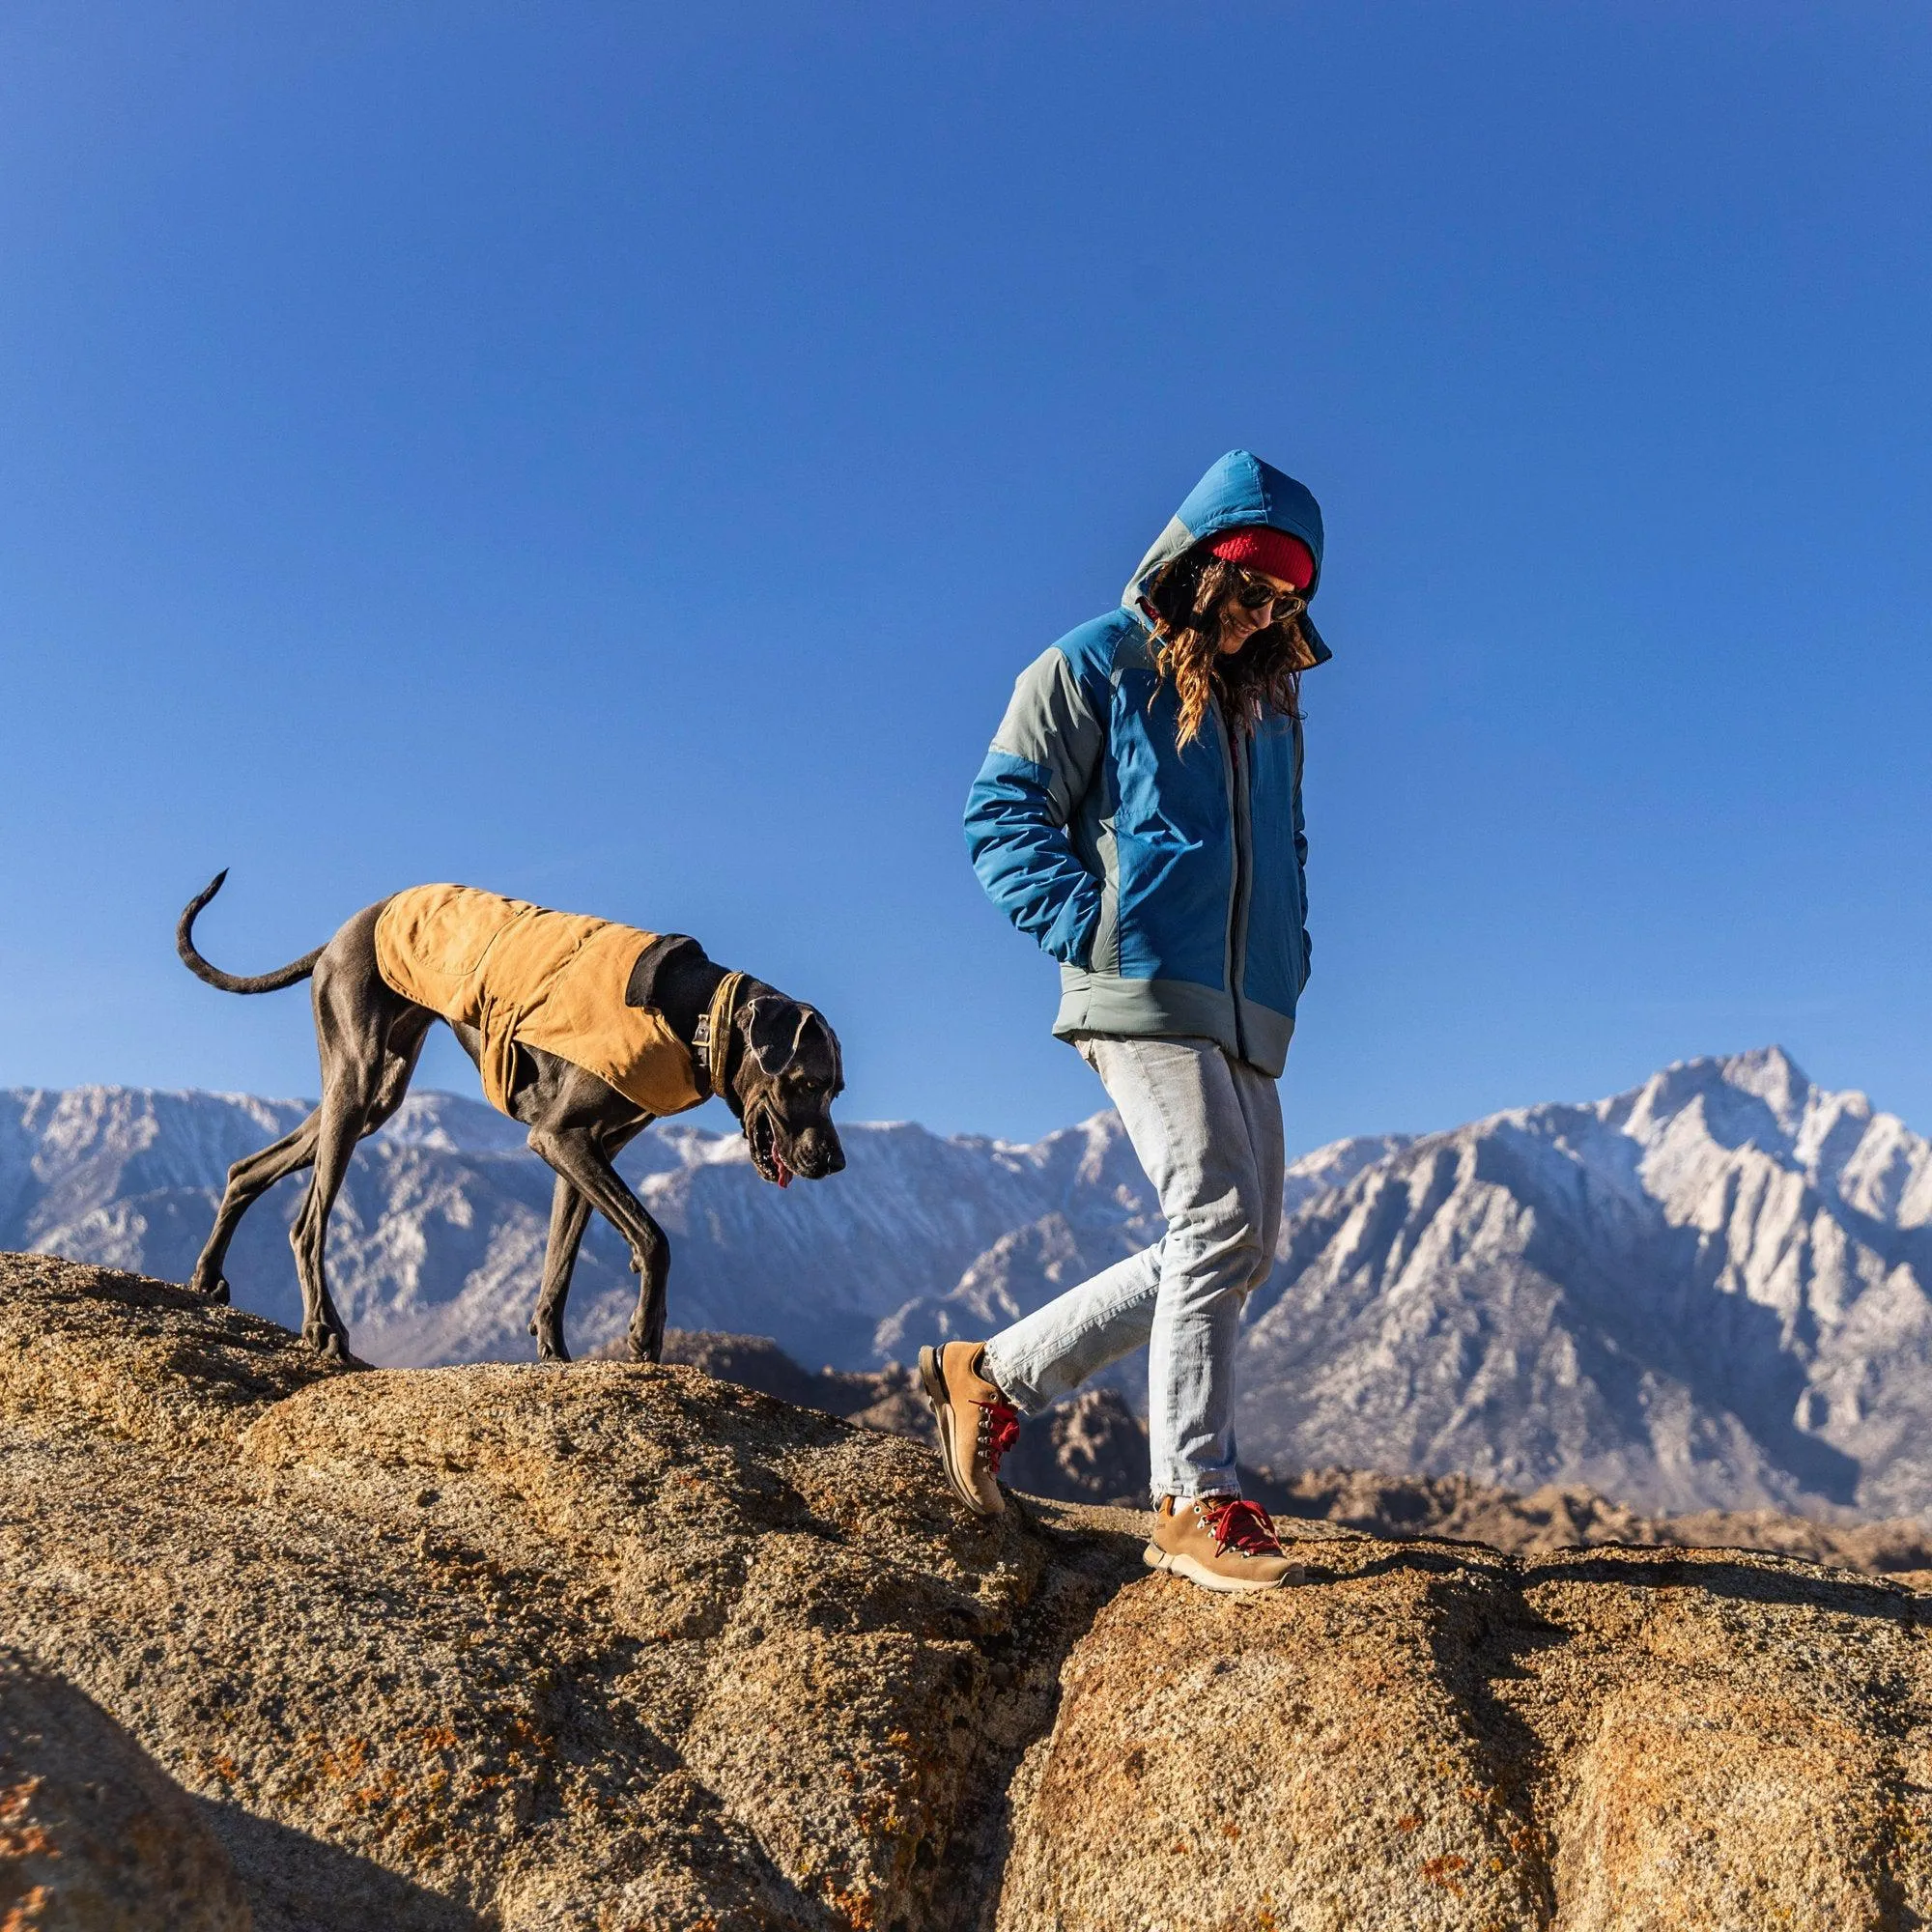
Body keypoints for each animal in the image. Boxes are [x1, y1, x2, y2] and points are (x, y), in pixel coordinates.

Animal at [178, 873, 842, 1360]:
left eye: (837, 1090)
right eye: (807, 1082)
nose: (833, 1163)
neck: (696, 1010)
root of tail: (344, 931)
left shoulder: (588, 1151)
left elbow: (559, 1263)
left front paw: (554, 1352)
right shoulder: (560, 1138)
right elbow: (654, 1239)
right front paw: (644, 1336)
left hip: (373, 1099)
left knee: (246, 1169)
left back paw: (208, 1276)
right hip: (356, 1079)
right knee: (306, 1225)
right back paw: (323, 1328)